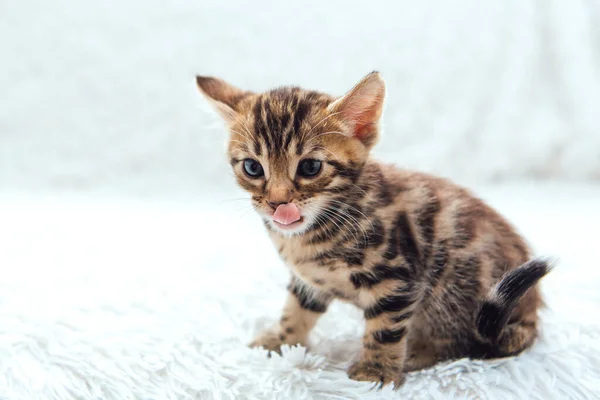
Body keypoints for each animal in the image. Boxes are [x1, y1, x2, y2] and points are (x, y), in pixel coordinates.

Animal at [195, 71, 552, 388]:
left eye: (310, 167)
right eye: (252, 168)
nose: (277, 203)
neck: (313, 235)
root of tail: (531, 311)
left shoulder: (398, 276)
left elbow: (386, 327)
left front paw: (375, 371)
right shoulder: (308, 280)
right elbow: (295, 309)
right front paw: (280, 340)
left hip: (454, 283)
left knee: (463, 343)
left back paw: (418, 354)